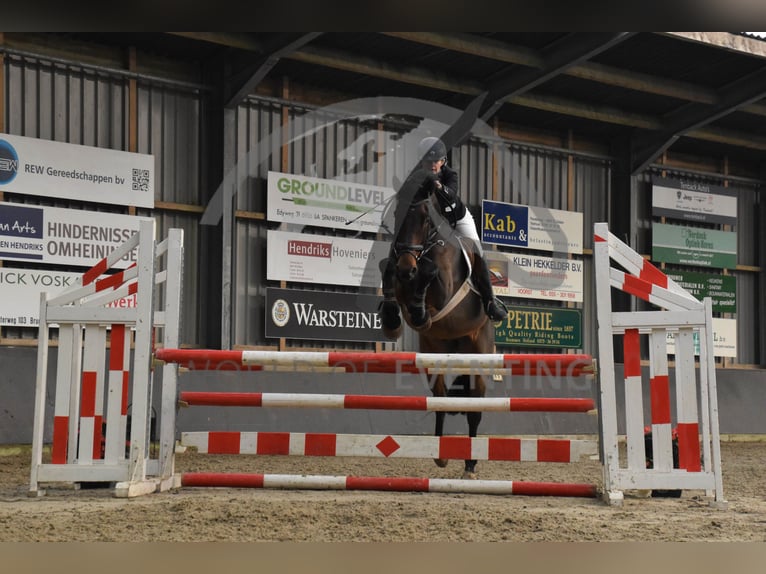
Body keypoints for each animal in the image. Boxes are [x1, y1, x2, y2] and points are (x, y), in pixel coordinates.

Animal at [384, 180, 498, 482]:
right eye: (397, 215)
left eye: (425, 220)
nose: (406, 267)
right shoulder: (399, 277)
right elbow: (391, 276)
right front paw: (394, 320)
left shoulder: (444, 287)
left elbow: (431, 271)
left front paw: (419, 310)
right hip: (433, 353)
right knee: (440, 398)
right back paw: (440, 455)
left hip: (478, 356)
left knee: (474, 408)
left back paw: (470, 465)